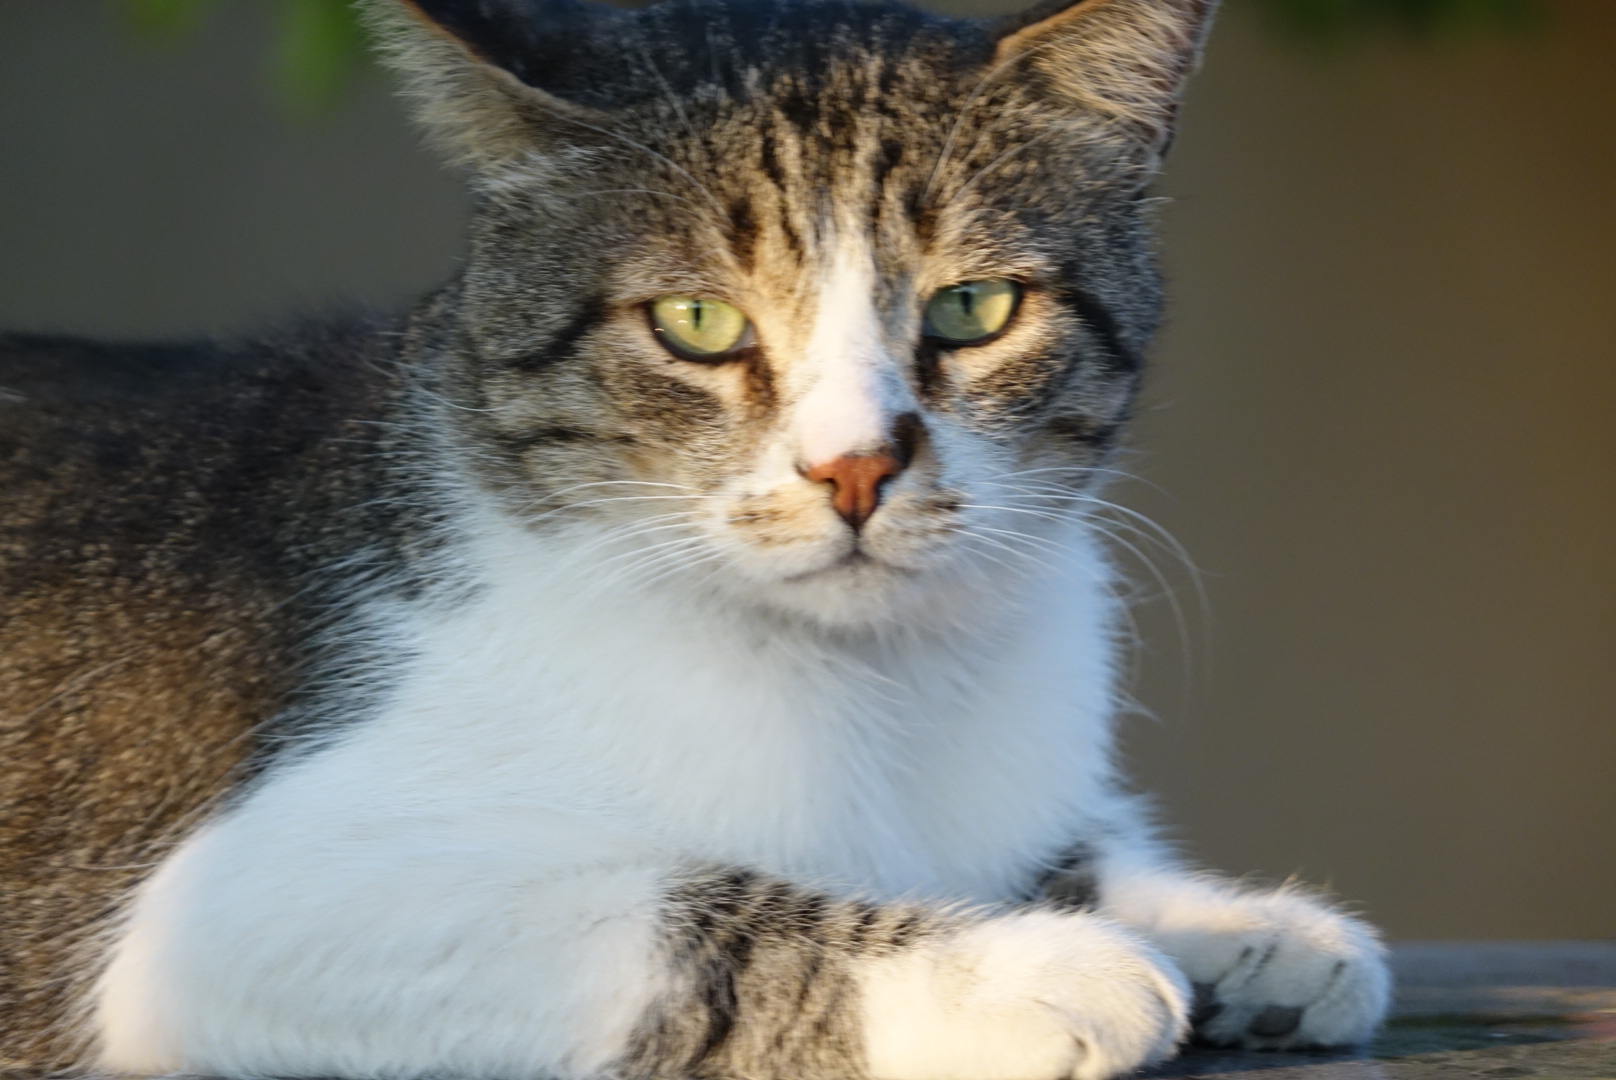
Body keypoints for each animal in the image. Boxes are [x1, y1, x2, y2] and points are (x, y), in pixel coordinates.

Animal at [0, 0, 1389, 1073]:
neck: (873, 691)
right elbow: (684, 912)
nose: (853, 467)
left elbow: (1059, 838)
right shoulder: (250, 909)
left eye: (974, 306)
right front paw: (1021, 970)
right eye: (697, 322)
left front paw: (1232, 925)